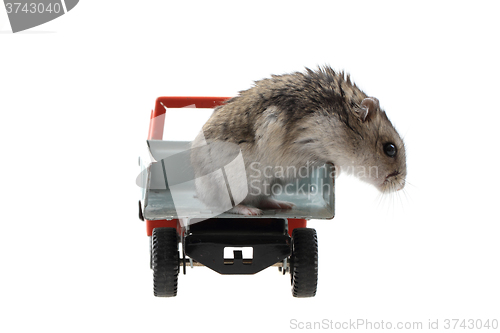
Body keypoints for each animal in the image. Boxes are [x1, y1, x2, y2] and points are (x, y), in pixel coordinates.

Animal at [191, 66, 406, 214]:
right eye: (390, 149)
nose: (400, 185)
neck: (339, 123)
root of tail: (198, 191)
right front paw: (336, 169)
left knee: (260, 199)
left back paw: (283, 204)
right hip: (229, 185)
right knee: (227, 206)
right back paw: (250, 211)